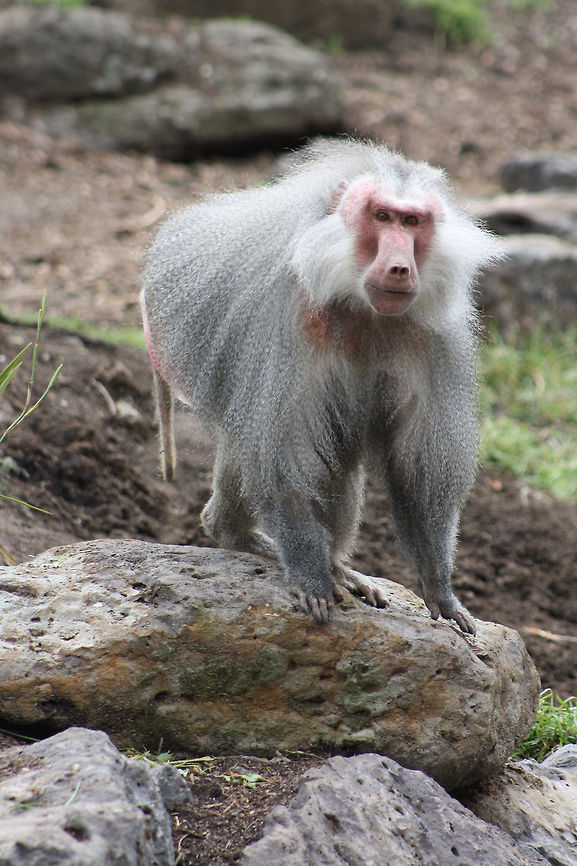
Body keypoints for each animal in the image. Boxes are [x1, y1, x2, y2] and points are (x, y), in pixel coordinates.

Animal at [141, 138, 501, 634]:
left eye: (412, 221)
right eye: (381, 216)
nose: (399, 267)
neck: (357, 304)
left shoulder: (434, 336)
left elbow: (418, 475)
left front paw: (440, 589)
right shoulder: (285, 318)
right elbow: (282, 463)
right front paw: (311, 576)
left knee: (338, 460)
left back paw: (337, 567)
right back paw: (238, 535)